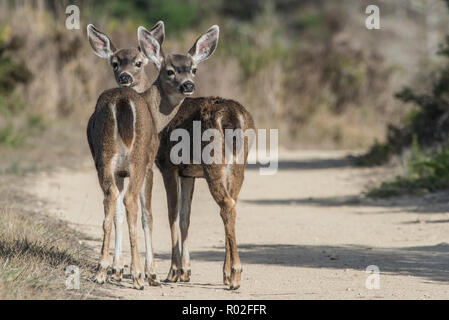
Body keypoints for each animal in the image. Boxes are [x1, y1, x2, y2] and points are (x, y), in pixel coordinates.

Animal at [93, 27, 256, 290]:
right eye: (169, 70)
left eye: (193, 68)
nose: (188, 84)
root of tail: (233, 117)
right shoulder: (188, 173)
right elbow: (184, 216)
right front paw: (185, 270)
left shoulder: (166, 165)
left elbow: (171, 214)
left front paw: (172, 271)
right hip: (237, 165)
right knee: (231, 205)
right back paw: (228, 273)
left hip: (211, 162)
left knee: (226, 206)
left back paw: (233, 275)